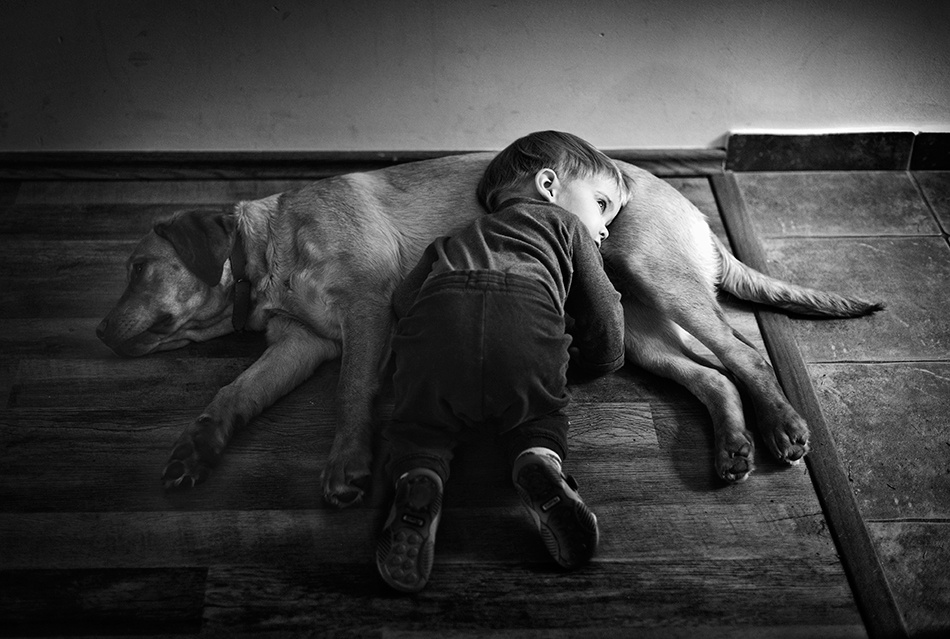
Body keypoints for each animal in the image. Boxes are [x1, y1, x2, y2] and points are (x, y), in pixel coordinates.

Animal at [96, 152, 882, 506]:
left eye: (137, 267)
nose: (98, 332)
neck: (272, 249)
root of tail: (682, 200)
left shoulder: (365, 313)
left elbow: (351, 397)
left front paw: (348, 465)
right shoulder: (299, 345)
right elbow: (231, 393)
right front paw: (195, 450)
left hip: (659, 277)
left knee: (745, 355)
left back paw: (783, 427)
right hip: (636, 324)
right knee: (712, 375)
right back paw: (734, 446)